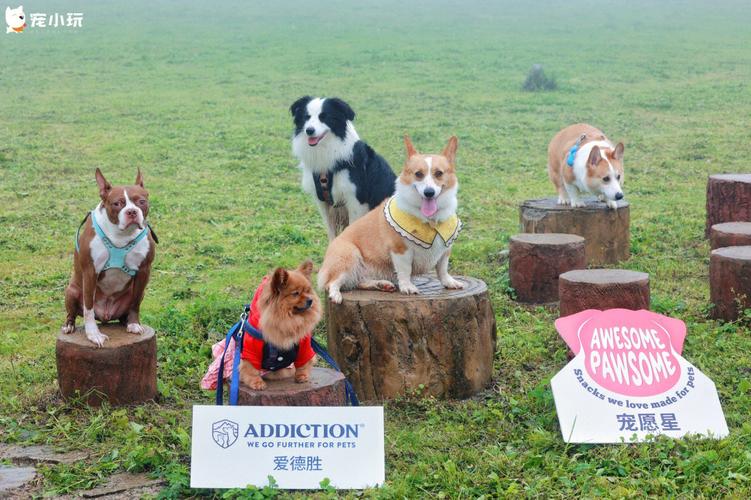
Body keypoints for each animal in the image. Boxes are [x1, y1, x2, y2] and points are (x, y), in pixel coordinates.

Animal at [64, 170, 157, 346]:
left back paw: (126, 321)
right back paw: (68, 326)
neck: (121, 235)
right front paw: (93, 334)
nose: (132, 211)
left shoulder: (144, 270)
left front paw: (134, 324)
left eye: (141, 202)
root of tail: (106, 316)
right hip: (71, 290)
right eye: (117, 203)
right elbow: (88, 307)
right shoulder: (90, 271)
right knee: (72, 313)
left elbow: (135, 303)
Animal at [318, 135, 464, 302]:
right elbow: (405, 270)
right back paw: (335, 295)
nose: (429, 192)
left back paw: (381, 284)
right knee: (331, 283)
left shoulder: (444, 250)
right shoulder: (400, 250)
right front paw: (407, 287)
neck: (429, 220)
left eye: (439, 173)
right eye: (418, 174)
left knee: (360, 282)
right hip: (350, 256)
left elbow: (442, 269)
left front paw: (449, 282)